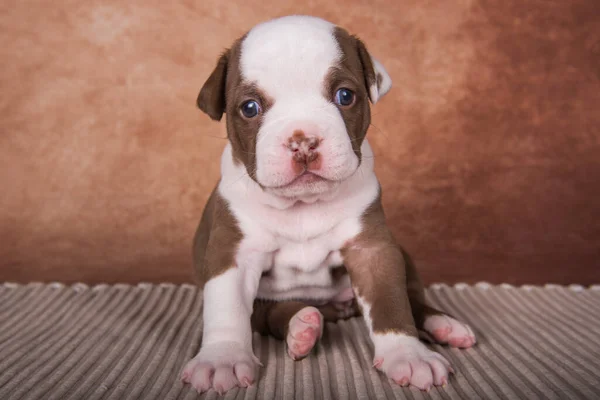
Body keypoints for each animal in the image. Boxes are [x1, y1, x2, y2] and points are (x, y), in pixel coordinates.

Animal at [180, 14, 476, 394]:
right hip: (269, 305)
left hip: (403, 254)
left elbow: (391, 300)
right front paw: (223, 359)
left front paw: (408, 355)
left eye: (345, 96)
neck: (303, 204)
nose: (303, 140)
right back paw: (302, 328)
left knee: (413, 297)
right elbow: (227, 308)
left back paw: (443, 324)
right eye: (249, 108)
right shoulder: (232, 254)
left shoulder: (373, 250)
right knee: (270, 314)